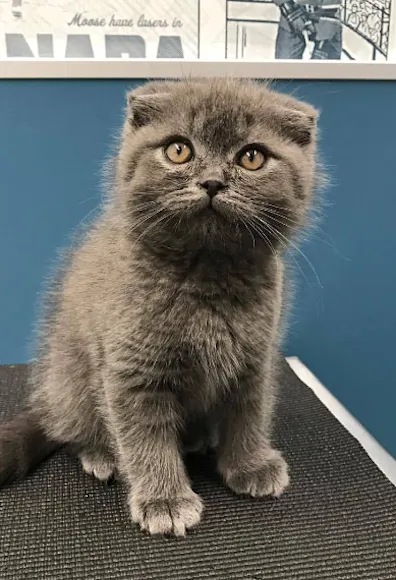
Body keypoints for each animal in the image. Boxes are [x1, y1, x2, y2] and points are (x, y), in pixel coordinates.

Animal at [0, 79, 318, 536]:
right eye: (178, 150)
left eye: (252, 157)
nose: (212, 182)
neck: (206, 274)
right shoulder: (133, 369)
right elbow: (145, 436)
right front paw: (164, 500)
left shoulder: (254, 359)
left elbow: (249, 413)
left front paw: (250, 465)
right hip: (69, 379)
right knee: (76, 428)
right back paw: (102, 455)